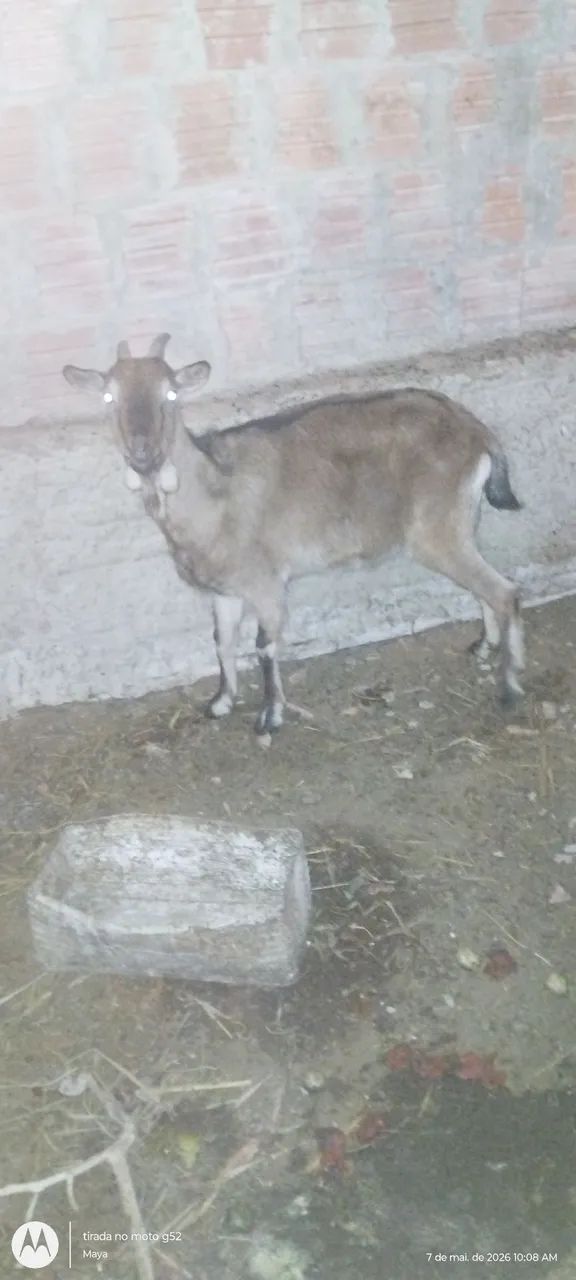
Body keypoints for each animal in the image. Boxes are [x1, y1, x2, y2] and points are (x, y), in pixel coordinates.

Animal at [63, 334, 524, 734]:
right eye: (109, 396)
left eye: (171, 394)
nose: (143, 453)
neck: (212, 491)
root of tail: (476, 432)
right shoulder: (224, 591)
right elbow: (222, 641)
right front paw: (220, 702)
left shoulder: (265, 582)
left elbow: (264, 645)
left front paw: (270, 716)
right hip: (460, 524)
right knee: (485, 585)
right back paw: (483, 646)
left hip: (435, 531)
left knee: (505, 591)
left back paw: (510, 687)